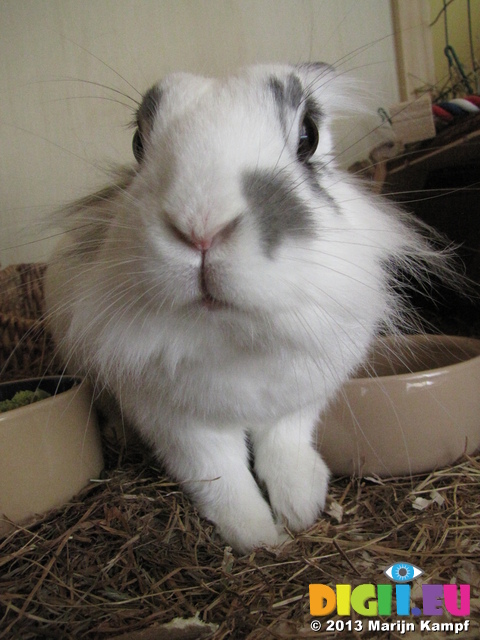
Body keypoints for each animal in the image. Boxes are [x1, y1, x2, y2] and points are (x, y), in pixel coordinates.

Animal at [45, 65, 446, 552]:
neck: (235, 335)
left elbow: (285, 449)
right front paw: (259, 537)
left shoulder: (299, 401)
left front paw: (300, 507)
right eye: (138, 142)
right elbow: (222, 479)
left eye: (309, 135)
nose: (200, 228)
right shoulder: (178, 425)